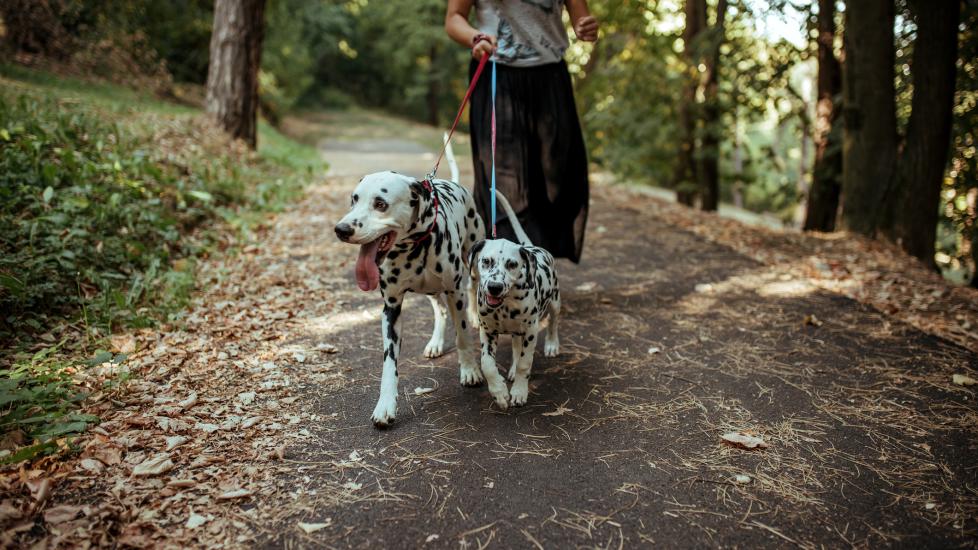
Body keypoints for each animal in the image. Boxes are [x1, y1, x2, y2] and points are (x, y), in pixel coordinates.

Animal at [334, 144, 482, 430]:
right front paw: (385, 405)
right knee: (440, 310)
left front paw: (470, 369)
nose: (341, 229)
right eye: (354, 199)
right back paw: (436, 343)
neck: (415, 244)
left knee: (471, 290)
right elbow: (389, 364)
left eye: (380, 204)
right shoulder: (391, 308)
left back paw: (476, 317)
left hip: (473, 259)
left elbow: (462, 335)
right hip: (431, 291)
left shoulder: (455, 292)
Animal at [468, 194, 560, 410]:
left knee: (553, 322)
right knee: (516, 347)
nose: (494, 287)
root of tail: (531, 247)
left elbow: (525, 364)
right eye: (486, 261)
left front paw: (519, 391)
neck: (505, 305)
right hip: (516, 331)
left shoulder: (531, 331)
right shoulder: (488, 332)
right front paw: (499, 392)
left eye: (512, 264)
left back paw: (552, 344)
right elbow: (487, 364)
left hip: (554, 302)